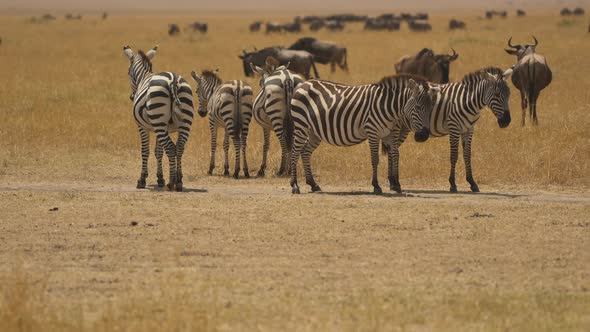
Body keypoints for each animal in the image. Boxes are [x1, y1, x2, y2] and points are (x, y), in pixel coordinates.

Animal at [122, 44, 197, 192]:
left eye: (128, 72)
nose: (132, 97)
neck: (143, 77)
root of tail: (173, 80)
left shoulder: (143, 127)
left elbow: (145, 151)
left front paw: (142, 180)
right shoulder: (160, 128)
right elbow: (158, 152)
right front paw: (160, 178)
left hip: (159, 120)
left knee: (171, 148)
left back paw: (172, 182)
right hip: (182, 122)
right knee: (179, 147)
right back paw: (179, 181)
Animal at [290, 75, 442, 195]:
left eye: (431, 108)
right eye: (418, 107)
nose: (424, 135)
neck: (388, 107)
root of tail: (303, 83)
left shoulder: (390, 134)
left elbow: (395, 155)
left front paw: (397, 184)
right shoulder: (372, 132)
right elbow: (375, 159)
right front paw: (376, 186)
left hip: (314, 132)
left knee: (305, 152)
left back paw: (313, 184)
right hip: (301, 125)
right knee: (295, 152)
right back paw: (295, 185)